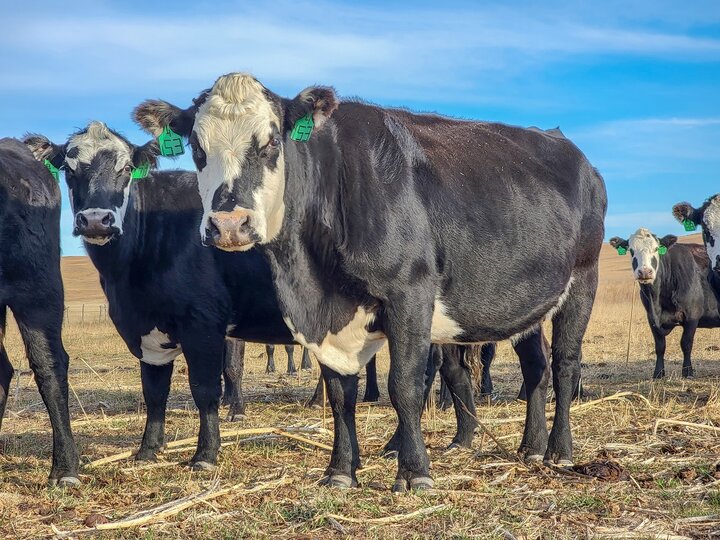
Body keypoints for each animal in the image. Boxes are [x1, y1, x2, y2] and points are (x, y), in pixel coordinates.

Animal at [608, 230, 720, 378]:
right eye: (631, 250)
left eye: (656, 249)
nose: (645, 272)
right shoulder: (651, 318)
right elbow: (660, 346)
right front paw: (658, 372)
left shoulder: (692, 315)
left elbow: (686, 343)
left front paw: (687, 371)